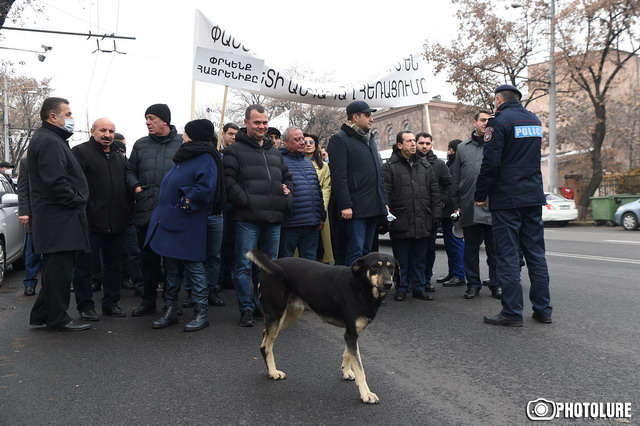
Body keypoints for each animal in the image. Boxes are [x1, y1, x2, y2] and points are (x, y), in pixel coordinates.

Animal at [246, 251, 400, 404]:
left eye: (391, 267)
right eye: (375, 267)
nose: (388, 284)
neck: (361, 287)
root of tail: (273, 264)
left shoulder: (352, 333)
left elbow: (348, 354)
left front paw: (345, 372)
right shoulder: (351, 334)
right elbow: (360, 368)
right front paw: (366, 394)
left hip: (292, 313)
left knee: (265, 334)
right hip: (276, 314)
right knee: (266, 345)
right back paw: (273, 372)